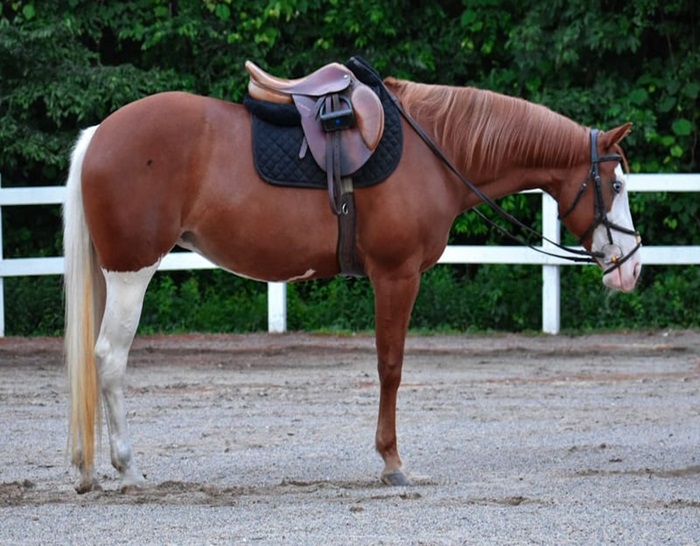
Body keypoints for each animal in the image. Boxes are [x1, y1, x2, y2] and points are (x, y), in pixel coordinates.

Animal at [63, 61, 641, 493]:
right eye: (614, 184)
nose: (632, 266)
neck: (436, 151)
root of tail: (100, 134)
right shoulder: (396, 276)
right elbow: (391, 367)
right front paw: (393, 463)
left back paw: (89, 470)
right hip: (132, 273)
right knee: (108, 359)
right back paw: (128, 469)